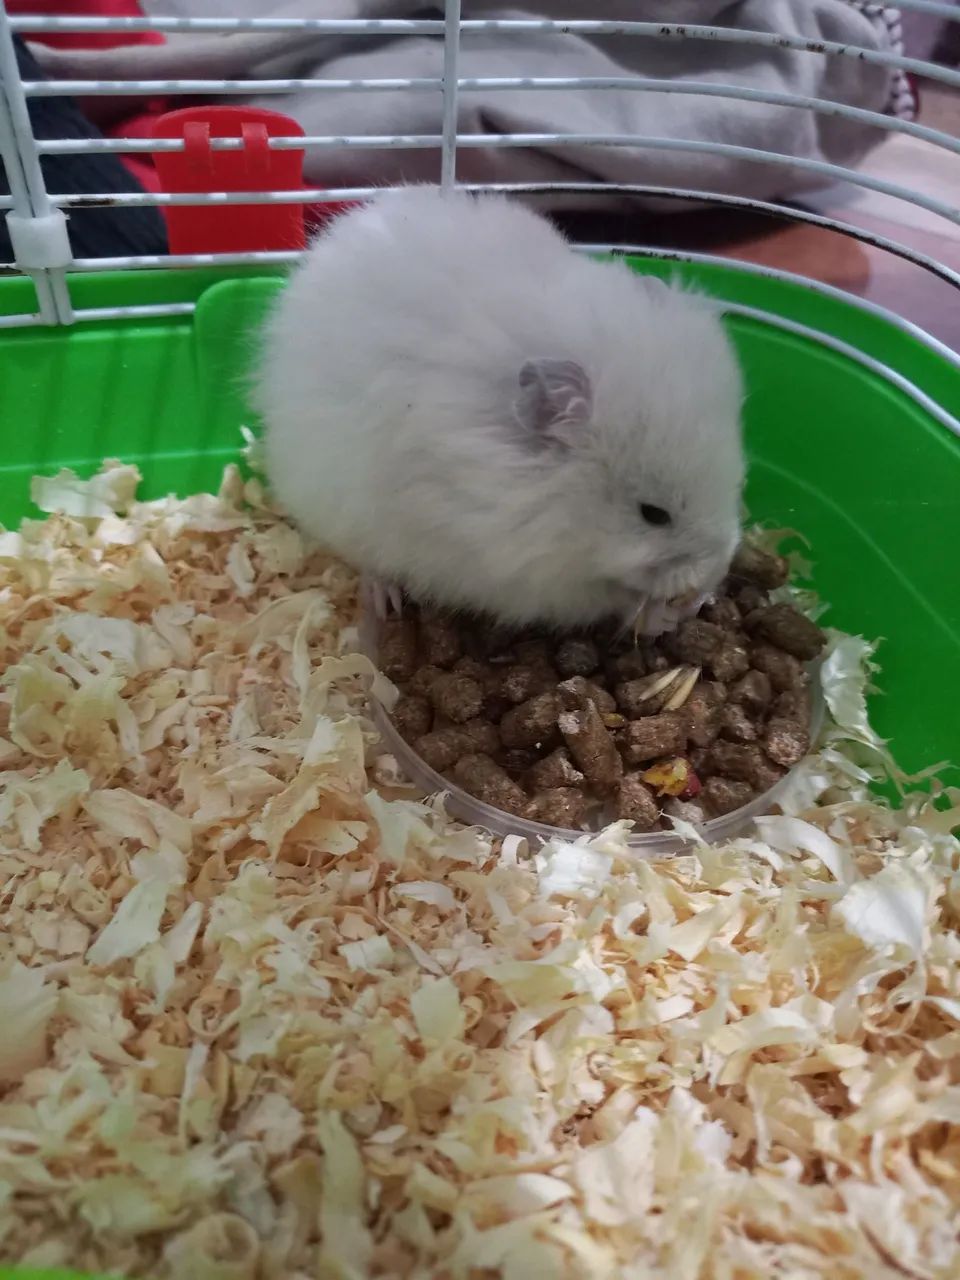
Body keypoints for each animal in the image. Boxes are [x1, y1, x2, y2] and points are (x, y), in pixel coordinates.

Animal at [254, 186, 745, 633]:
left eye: (736, 482)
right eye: (653, 514)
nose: (714, 573)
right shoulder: (517, 575)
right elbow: (607, 599)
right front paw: (664, 615)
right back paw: (385, 597)